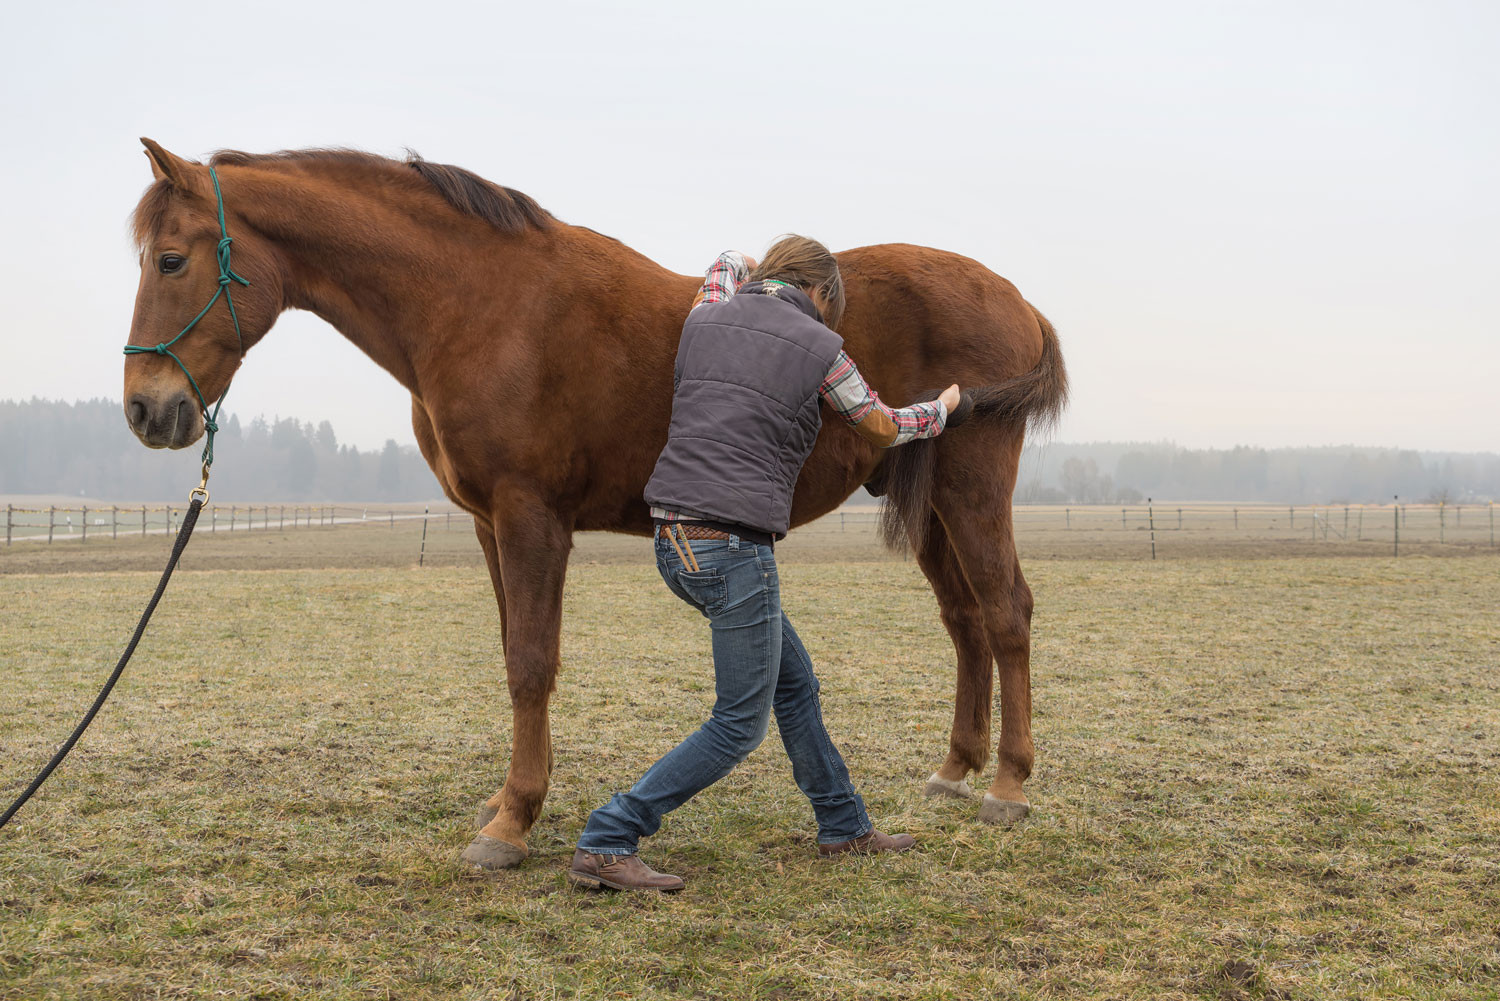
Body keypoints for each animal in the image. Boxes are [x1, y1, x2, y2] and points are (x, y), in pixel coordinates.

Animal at [126, 138, 1068, 870]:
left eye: (170, 259)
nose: (146, 409)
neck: (478, 302)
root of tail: (1018, 299)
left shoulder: (530, 516)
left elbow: (531, 662)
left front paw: (511, 821)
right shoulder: (487, 524)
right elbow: (513, 651)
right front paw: (508, 804)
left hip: (972, 488)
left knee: (1007, 611)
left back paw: (1008, 784)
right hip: (934, 506)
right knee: (965, 619)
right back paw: (955, 770)